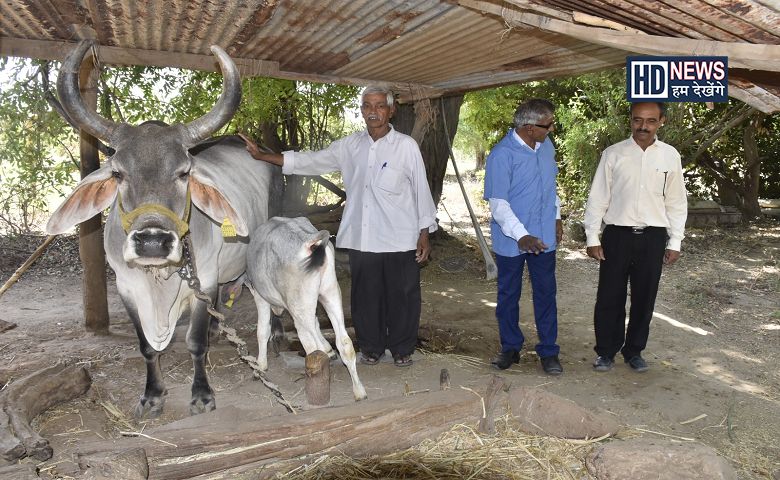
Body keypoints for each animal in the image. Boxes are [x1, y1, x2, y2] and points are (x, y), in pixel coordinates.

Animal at [45, 40, 278, 416]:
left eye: (184, 172)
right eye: (117, 173)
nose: (152, 243)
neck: (158, 281)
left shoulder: (203, 280)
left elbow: (195, 342)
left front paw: (202, 395)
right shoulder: (126, 287)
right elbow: (146, 347)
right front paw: (152, 394)